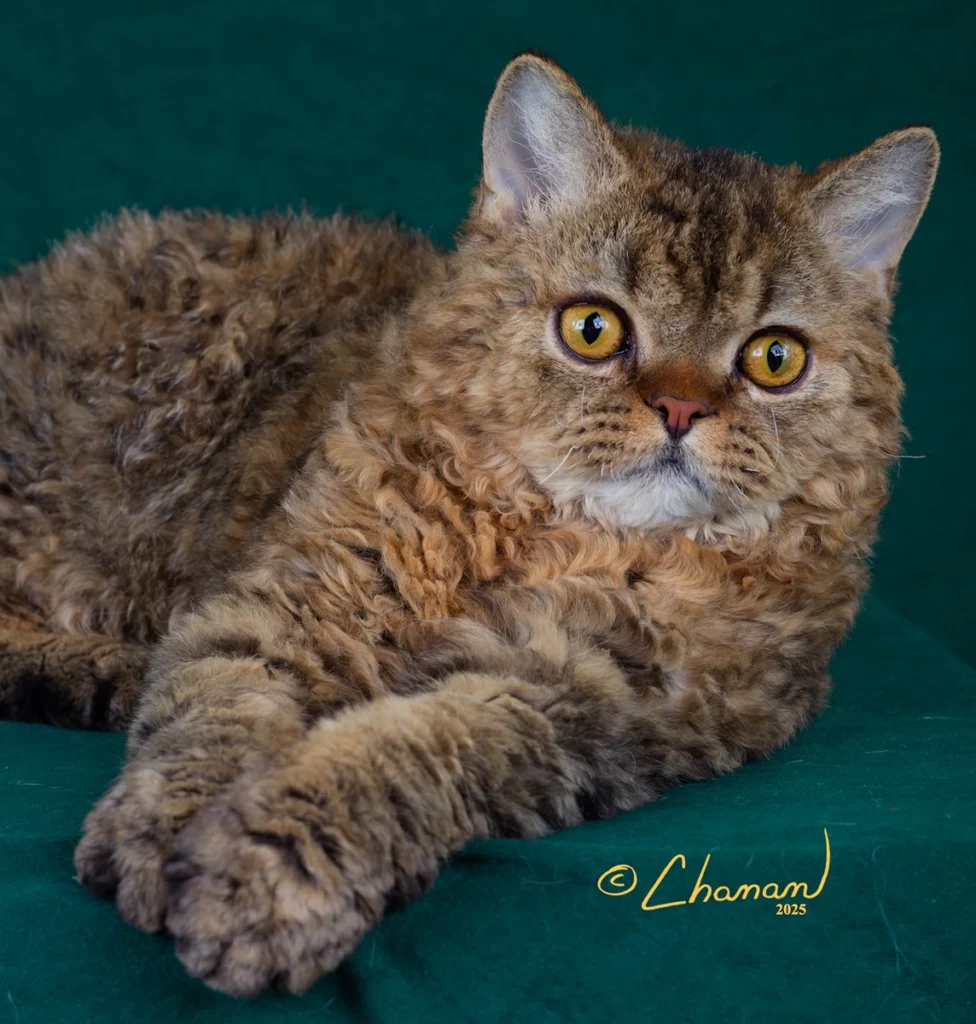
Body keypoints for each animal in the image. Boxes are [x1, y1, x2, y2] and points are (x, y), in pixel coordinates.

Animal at [0, 52, 937, 997]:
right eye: (593, 329)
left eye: (774, 359)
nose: (680, 408)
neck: (552, 537)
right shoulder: (285, 606)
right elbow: (213, 719)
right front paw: (169, 828)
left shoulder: (587, 700)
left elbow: (404, 754)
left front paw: (265, 874)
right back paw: (103, 669)